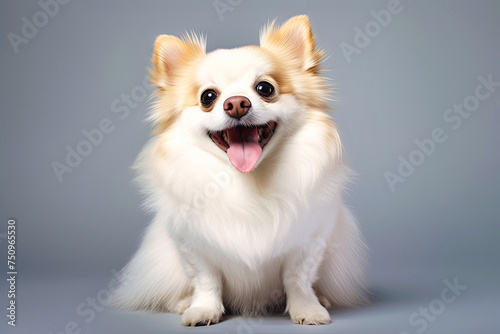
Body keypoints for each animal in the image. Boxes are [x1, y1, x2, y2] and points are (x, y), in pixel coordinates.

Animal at [110, 15, 368, 326]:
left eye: (265, 89)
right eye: (208, 97)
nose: (236, 103)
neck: (246, 181)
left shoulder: (308, 241)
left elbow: (298, 279)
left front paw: (307, 309)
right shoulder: (193, 245)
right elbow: (206, 280)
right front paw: (202, 310)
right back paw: (183, 303)